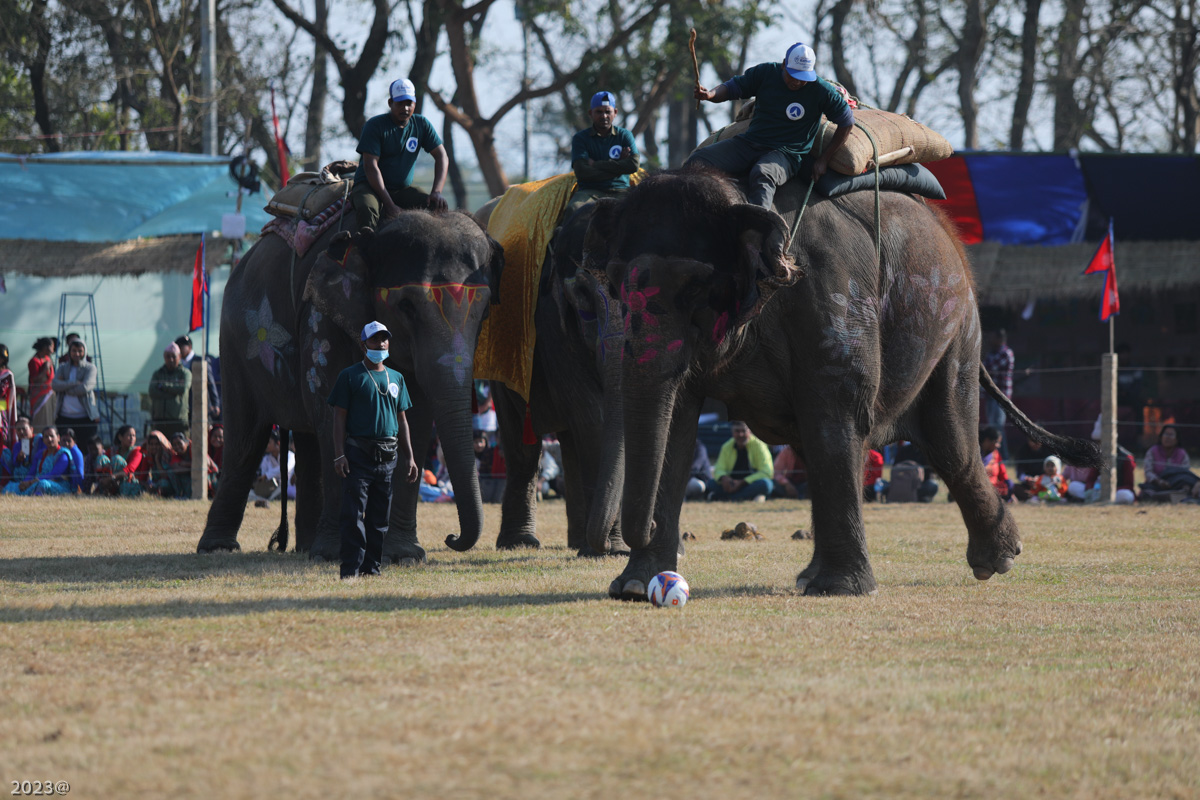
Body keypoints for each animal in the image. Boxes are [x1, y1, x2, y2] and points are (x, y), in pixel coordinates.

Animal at [195, 212, 501, 563]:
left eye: (485, 310)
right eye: (406, 306)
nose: (451, 537)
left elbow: (416, 419)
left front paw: (404, 555)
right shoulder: (320, 317)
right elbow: (334, 413)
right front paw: (340, 552)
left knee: (307, 442)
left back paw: (306, 547)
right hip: (234, 345)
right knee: (246, 439)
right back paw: (220, 547)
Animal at [472, 201, 628, 556]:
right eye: (583, 295)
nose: (608, 545)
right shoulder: (553, 323)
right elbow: (594, 416)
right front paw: (614, 549)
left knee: (569, 441)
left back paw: (578, 542)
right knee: (524, 446)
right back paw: (522, 543)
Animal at [585, 172, 1099, 599]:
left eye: (695, 289)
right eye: (614, 286)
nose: (634, 535)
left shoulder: (830, 290)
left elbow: (836, 407)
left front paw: (842, 592)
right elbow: (676, 421)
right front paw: (635, 587)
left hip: (956, 328)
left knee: (949, 442)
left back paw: (997, 562)